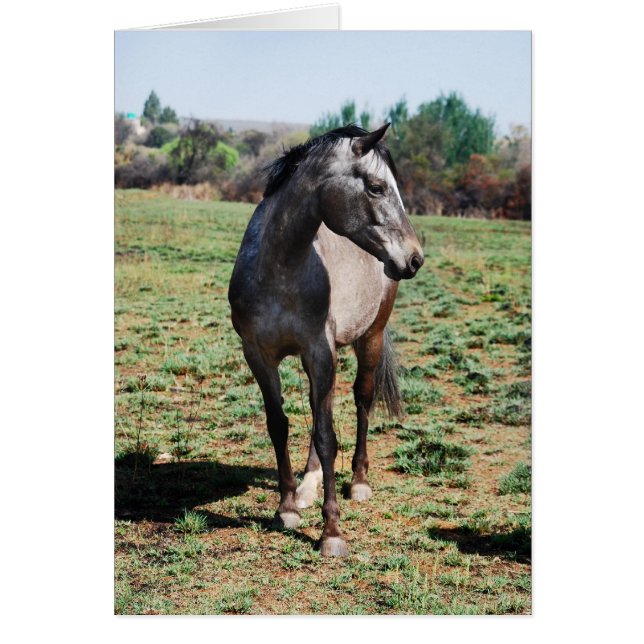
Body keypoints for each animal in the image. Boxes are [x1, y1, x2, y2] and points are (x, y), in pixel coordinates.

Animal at [228, 124, 424, 557]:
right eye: (376, 187)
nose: (415, 258)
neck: (281, 268)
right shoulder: (260, 356)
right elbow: (280, 425)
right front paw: (286, 509)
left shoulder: (320, 354)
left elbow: (326, 437)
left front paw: (332, 532)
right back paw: (306, 487)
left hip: (370, 338)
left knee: (362, 401)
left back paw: (359, 482)